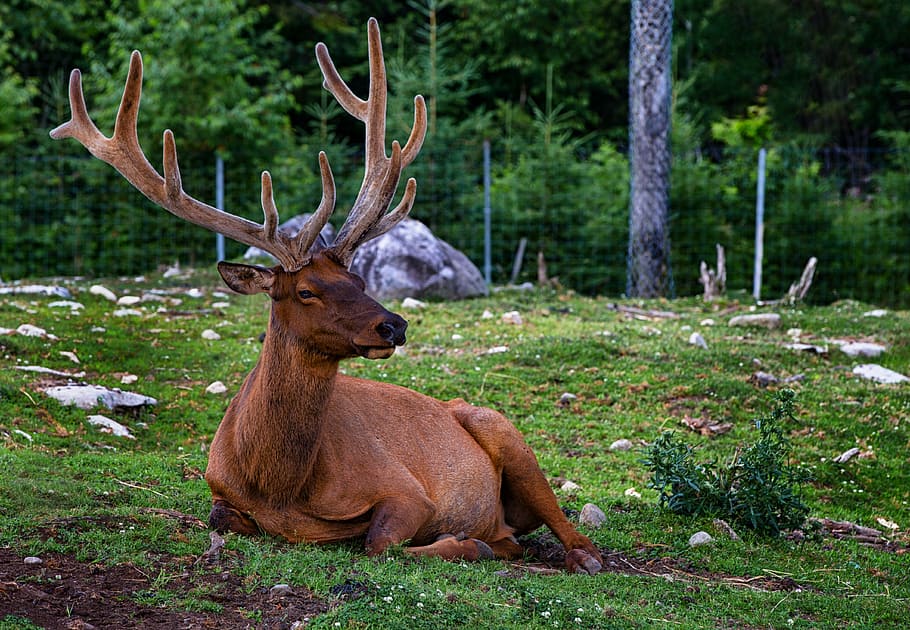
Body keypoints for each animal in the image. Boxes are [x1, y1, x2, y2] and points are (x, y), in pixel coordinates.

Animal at [50, 18, 603, 575]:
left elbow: (379, 542)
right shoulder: (218, 489)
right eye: (306, 291)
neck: (279, 485)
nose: (394, 325)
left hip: (506, 432)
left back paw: (578, 556)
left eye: (359, 282)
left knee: (566, 528)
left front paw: (464, 544)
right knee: (514, 535)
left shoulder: (407, 490)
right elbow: (221, 518)